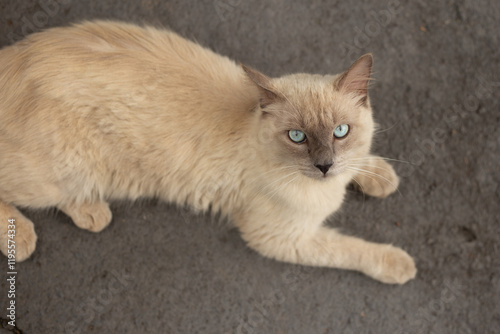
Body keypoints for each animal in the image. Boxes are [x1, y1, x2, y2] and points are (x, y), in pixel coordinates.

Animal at [0, 19, 416, 284]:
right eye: (297, 137)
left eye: (340, 132)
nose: (325, 165)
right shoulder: (281, 238)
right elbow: (350, 249)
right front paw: (399, 265)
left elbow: (365, 163)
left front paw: (381, 177)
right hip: (61, 173)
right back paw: (22, 237)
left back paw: (91, 211)